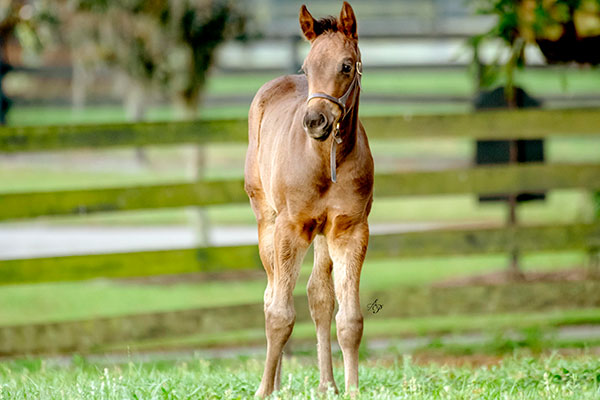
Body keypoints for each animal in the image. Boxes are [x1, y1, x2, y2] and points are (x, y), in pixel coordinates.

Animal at [244, 2, 370, 396]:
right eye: (307, 67)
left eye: (346, 65)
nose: (315, 121)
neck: (324, 161)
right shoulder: (290, 228)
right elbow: (280, 313)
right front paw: (263, 391)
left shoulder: (349, 230)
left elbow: (348, 318)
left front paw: (352, 389)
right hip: (266, 220)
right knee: (271, 294)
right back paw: (275, 382)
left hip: (322, 235)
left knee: (319, 297)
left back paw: (327, 384)